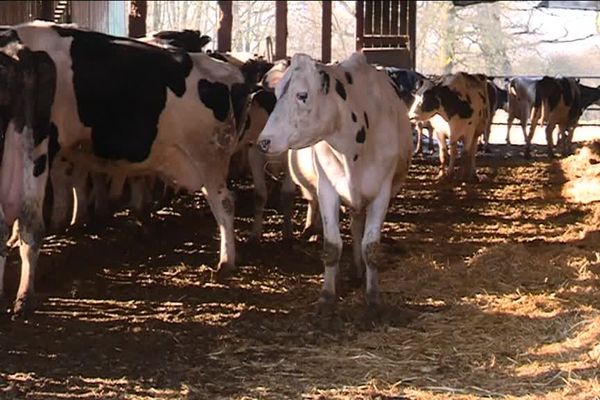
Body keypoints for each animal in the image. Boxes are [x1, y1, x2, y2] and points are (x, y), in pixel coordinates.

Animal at [255, 53, 414, 320]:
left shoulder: (382, 191)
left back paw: (359, 270)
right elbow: (331, 246)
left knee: (358, 225)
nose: (264, 141)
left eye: (302, 94)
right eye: (276, 94)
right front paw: (327, 296)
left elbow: (371, 247)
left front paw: (374, 297)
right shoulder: (328, 188)